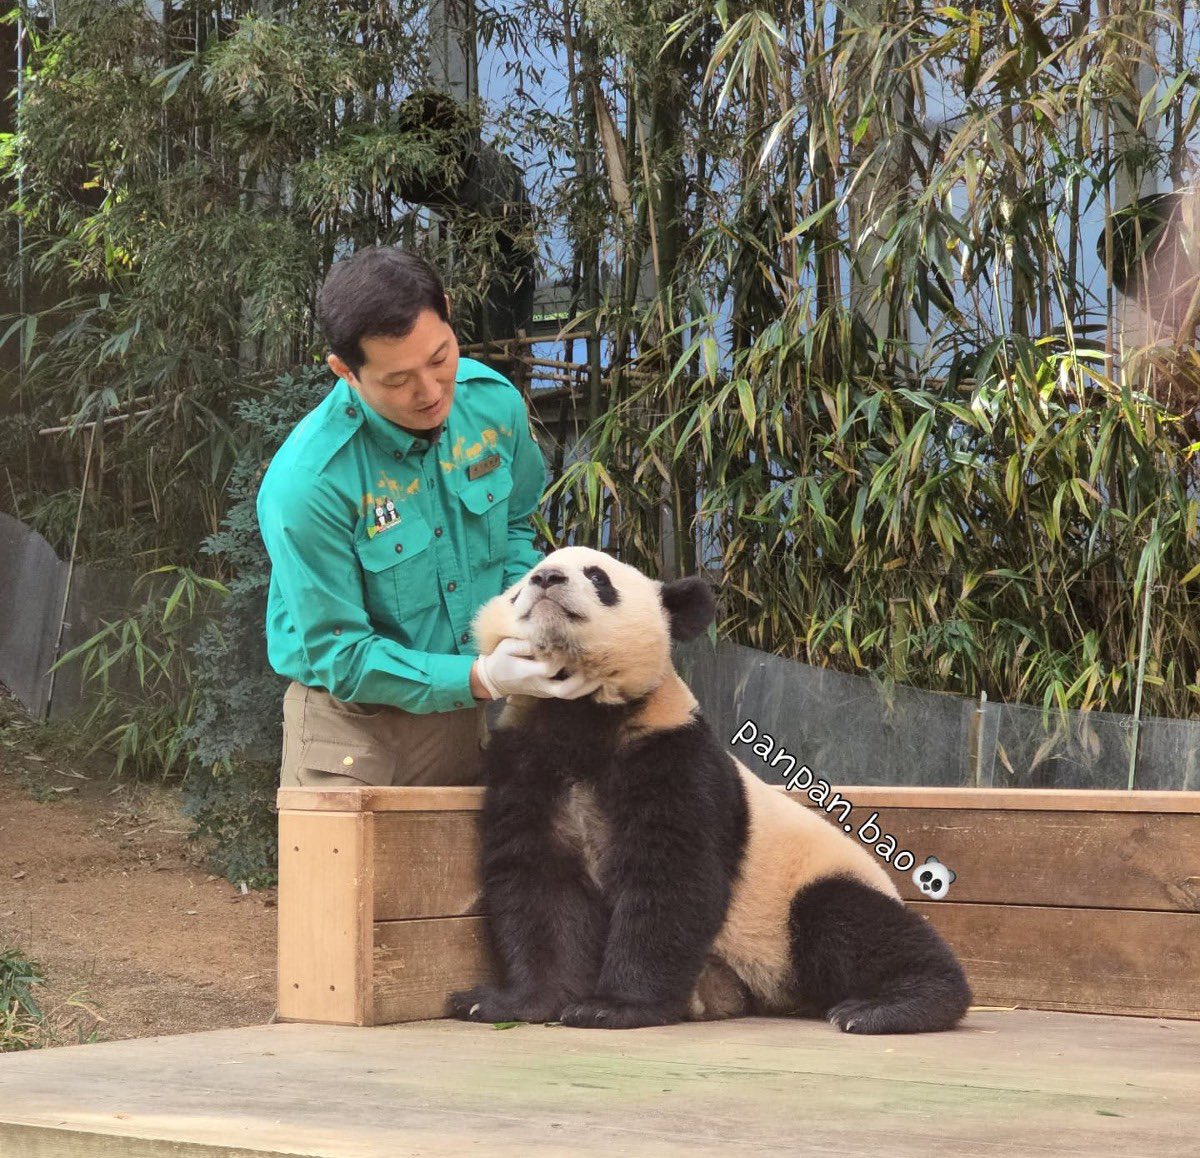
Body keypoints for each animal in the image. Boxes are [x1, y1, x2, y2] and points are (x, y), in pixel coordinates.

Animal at [446, 547, 969, 1036]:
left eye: (598, 578)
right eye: (521, 586)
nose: (547, 578)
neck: (580, 712)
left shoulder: (673, 752)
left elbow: (673, 877)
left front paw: (613, 1007)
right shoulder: (527, 760)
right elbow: (538, 881)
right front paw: (511, 1002)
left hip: (805, 892)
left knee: (847, 921)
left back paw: (887, 1007)